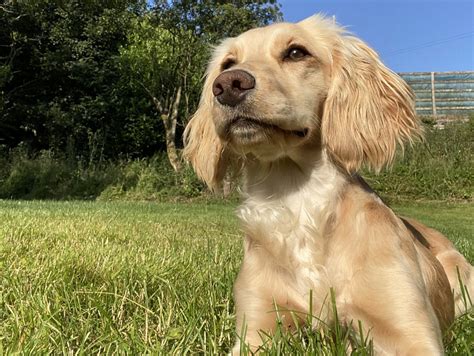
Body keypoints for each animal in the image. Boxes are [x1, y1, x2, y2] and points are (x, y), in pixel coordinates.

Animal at [182, 15, 474, 354]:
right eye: (228, 63)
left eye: (296, 52)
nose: (228, 85)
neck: (296, 197)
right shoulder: (255, 329)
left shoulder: (409, 331)